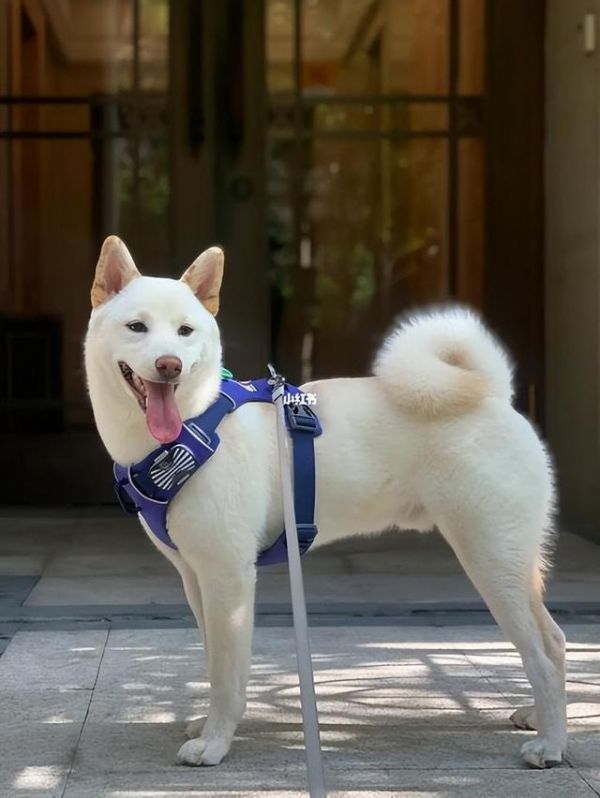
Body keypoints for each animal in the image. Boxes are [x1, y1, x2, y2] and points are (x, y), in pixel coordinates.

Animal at [84, 235, 567, 769]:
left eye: (185, 331)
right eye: (137, 327)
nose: (169, 364)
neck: (193, 425)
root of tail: (492, 395)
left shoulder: (229, 577)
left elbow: (228, 674)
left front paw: (215, 743)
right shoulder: (196, 577)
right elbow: (213, 663)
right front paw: (208, 724)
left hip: (491, 557)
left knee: (542, 648)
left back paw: (552, 744)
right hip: (509, 561)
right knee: (555, 638)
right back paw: (539, 715)